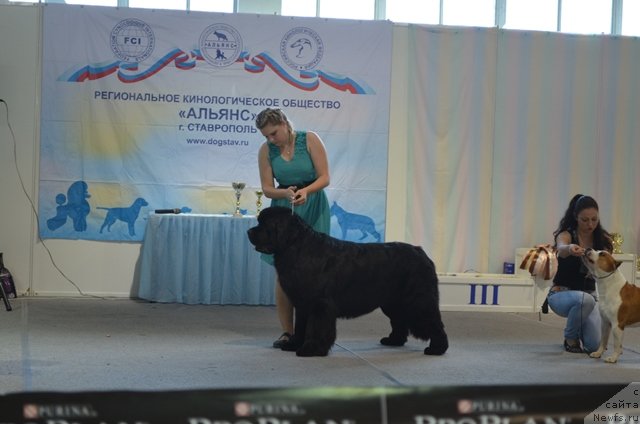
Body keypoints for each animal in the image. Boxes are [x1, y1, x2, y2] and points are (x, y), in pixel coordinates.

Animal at [246, 207, 450, 356]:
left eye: (264, 224)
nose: (248, 231)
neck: (297, 247)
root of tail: (421, 252)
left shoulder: (319, 304)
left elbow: (316, 327)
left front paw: (311, 349)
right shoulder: (303, 304)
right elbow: (301, 326)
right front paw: (294, 345)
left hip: (418, 300)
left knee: (434, 322)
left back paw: (437, 348)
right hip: (393, 303)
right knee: (399, 321)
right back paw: (393, 341)